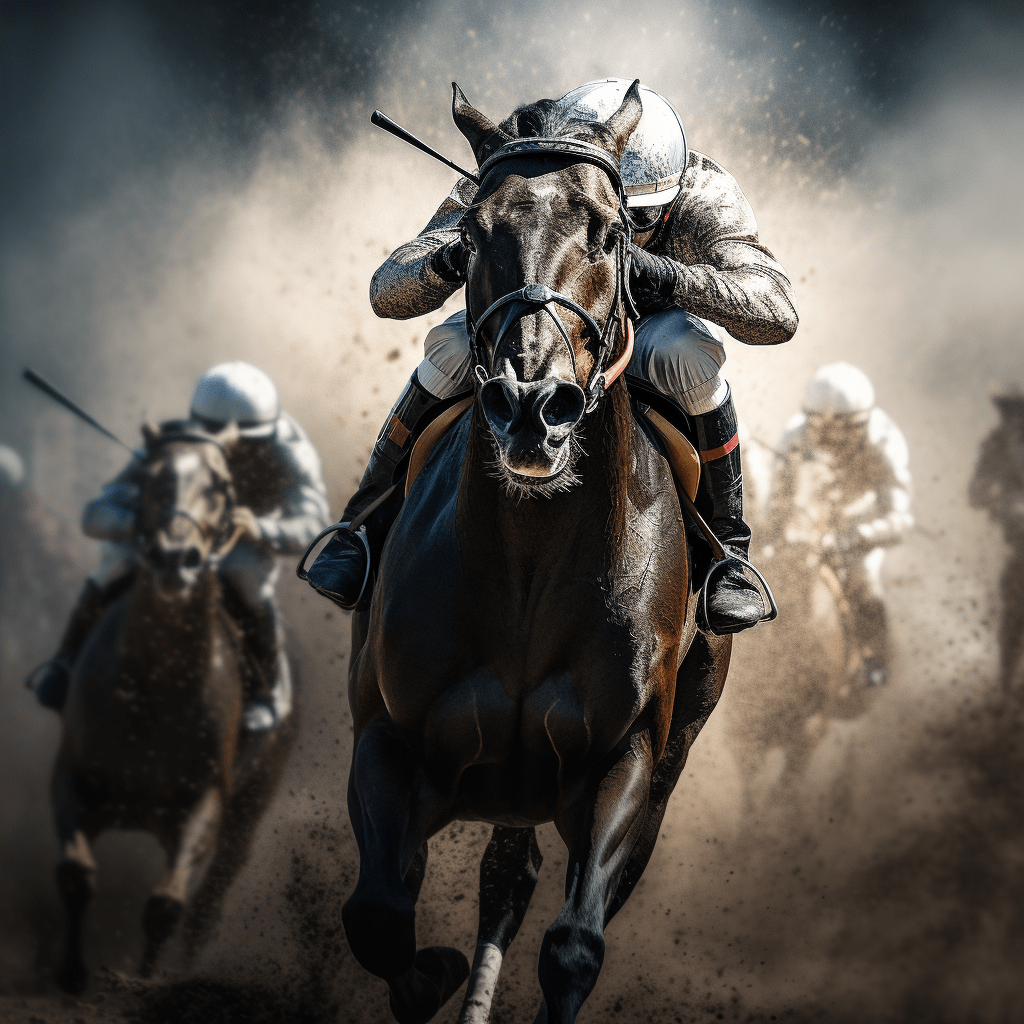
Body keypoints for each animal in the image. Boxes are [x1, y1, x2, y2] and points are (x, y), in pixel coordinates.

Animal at [50, 419, 292, 987]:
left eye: (222, 486)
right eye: (150, 478)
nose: (174, 559)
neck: (156, 689)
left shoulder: (205, 800)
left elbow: (166, 904)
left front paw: (139, 983)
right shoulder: (72, 775)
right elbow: (76, 871)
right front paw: (71, 972)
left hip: (253, 801)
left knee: (209, 901)